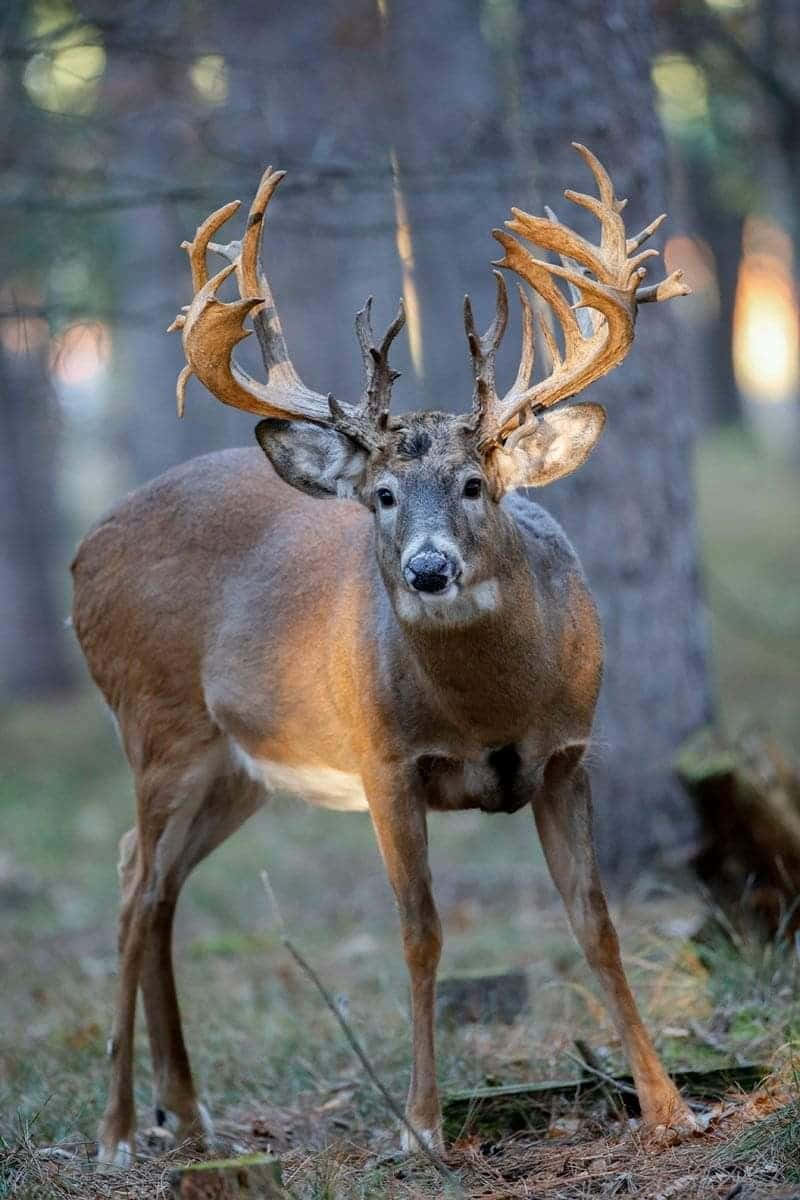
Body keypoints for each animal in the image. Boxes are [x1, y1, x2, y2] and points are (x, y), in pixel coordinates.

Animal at [71, 143, 694, 1165]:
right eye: (384, 496)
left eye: (478, 483)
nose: (428, 569)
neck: (489, 708)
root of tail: (81, 552)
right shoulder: (384, 762)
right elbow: (420, 934)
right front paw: (421, 1125)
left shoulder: (569, 752)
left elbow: (594, 923)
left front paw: (670, 1106)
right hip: (154, 723)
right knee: (130, 886)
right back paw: (120, 1131)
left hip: (235, 767)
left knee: (155, 882)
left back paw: (189, 1114)